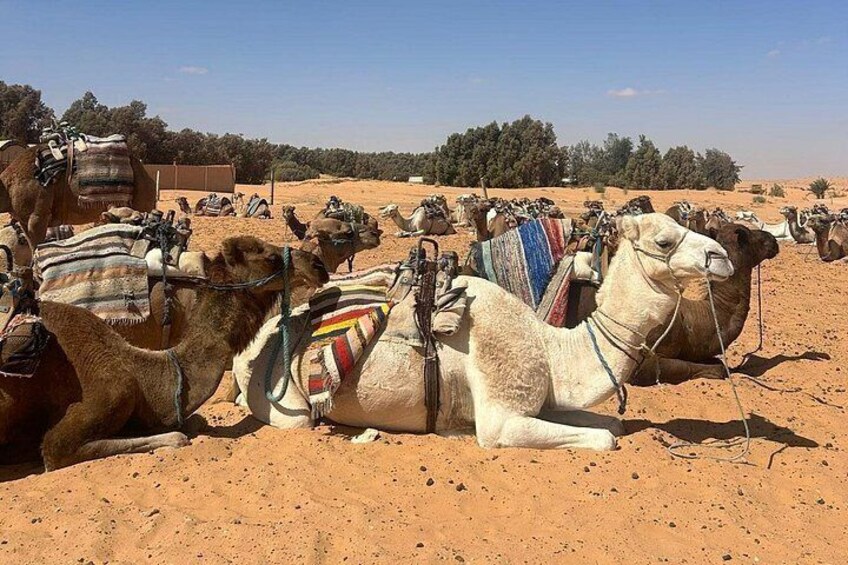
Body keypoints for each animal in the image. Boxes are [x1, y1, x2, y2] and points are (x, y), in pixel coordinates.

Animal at [0, 237, 328, 470]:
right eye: (270, 257)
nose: (318, 265)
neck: (142, 374)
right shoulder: (102, 399)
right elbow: (176, 436)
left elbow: (192, 422)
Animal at [234, 214, 733, 450]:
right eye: (664, 240)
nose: (721, 256)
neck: (550, 349)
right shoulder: (501, 419)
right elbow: (605, 438)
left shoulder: (546, 401)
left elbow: (611, 422)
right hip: (287, 405)